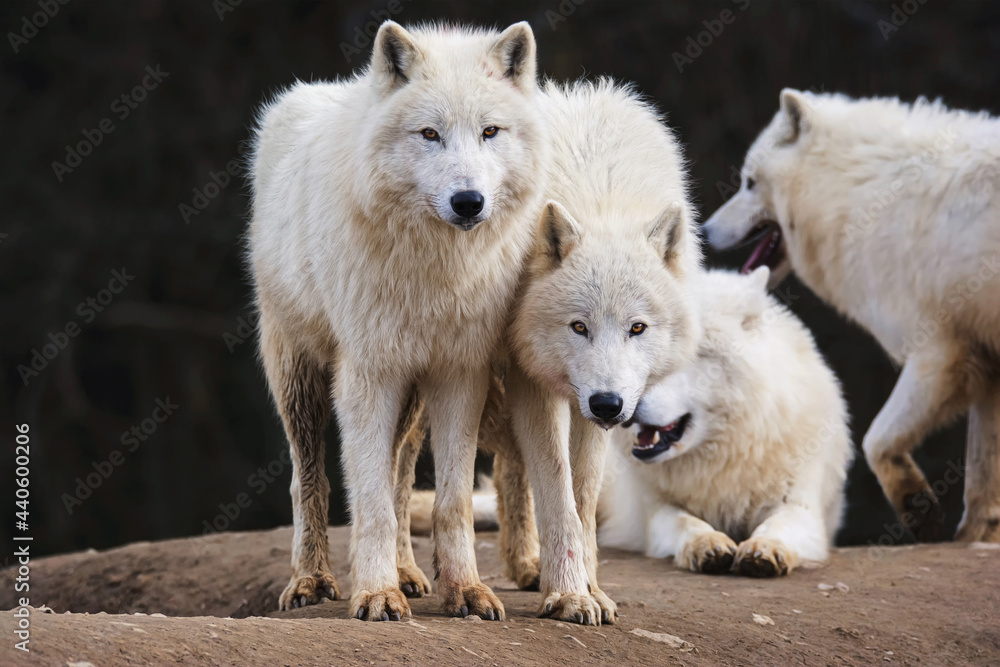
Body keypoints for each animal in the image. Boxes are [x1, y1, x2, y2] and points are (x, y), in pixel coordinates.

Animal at [248, 21, 549, 620]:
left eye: (490, 132)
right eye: (430, 134)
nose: (468, 201)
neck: (436, 271)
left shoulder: (459, 373)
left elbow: (449, 502)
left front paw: (464, 590)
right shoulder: (366, 374)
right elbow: (367, 501)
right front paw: (374, 594)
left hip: (412, 393)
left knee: (402, 472)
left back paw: (409, 572)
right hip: (300, 377)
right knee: (309, 479)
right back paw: (311, 580)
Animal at [505, 79, 702, 624]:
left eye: (637, 328)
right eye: (579, 327)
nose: (609, 405)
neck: (601, 198)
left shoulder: (586, 405)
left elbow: (585, 493)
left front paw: (590, 588)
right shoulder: (534, 387)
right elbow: (557, 492)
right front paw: (569, 595)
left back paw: (524, 568)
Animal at [598, 267, 854, 575]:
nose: (621, 402)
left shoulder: (800, 507)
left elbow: (777, 525)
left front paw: (763, 548)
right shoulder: (654, 510)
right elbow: (686, 522)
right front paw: (708, 544)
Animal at [702, 89, 1000, 542]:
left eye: (750, 183)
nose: (703, 232)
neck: (859, 194)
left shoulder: (939, 354)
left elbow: (874, 440)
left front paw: (918, 509)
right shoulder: (985, 363)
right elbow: (983, 484)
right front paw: (974, 540)